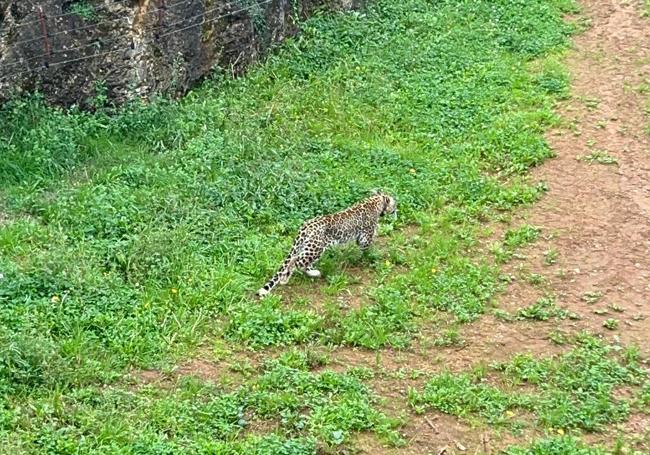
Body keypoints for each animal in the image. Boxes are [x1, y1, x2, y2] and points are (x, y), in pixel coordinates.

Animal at [254, 191, 394, 298]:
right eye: (395, 204)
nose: (396, 210)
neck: (375, 201)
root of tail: (305, 227)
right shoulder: (365, 237)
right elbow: (368, 248)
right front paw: (373, 255)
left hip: (307, 247)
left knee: (299, 262)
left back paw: (308, 274)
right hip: (316, 248)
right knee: (296, 261)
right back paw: (291, 278)